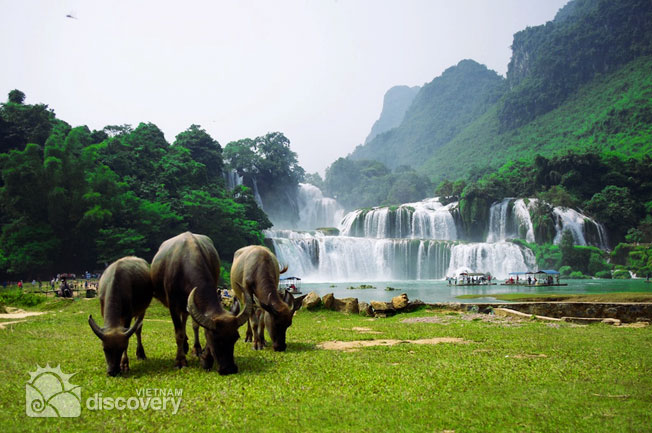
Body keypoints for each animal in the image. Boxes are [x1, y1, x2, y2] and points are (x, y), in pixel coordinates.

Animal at [150, 231, 252, 372]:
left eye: (235, 337)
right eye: (215, 338)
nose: (229, 368)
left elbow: (197, 325)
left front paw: (205, 357)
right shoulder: (172, 305)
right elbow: (178, 333)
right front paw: (180, 361)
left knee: (188, 320)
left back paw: (194, 347)